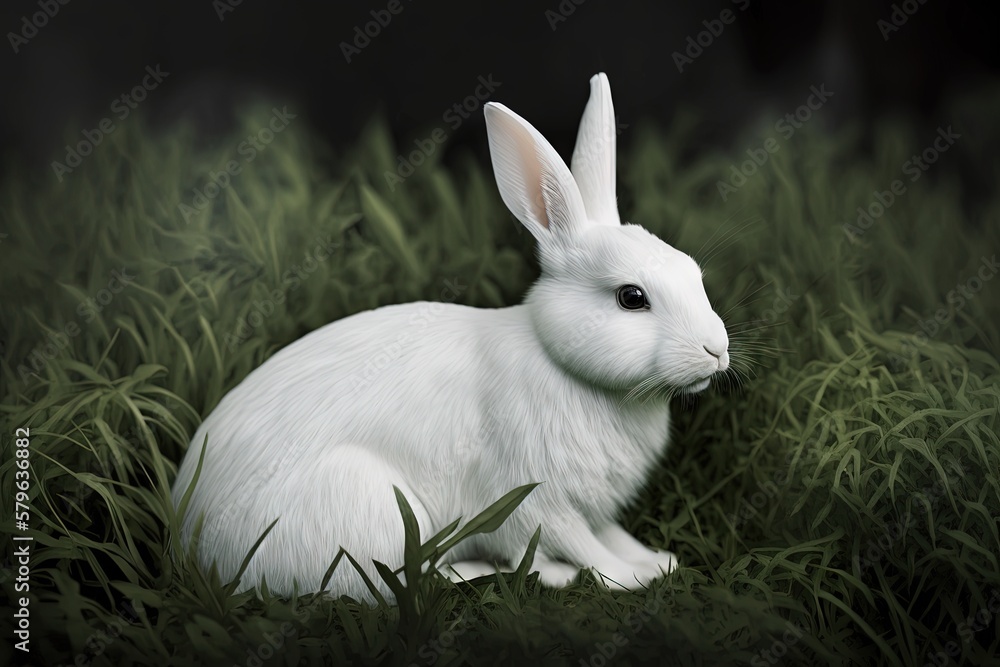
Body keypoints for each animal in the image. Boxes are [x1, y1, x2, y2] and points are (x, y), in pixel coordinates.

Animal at [172, 73, 732, 604]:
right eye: (631, 297)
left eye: (693, 270)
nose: (717, 350)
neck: (565, 367)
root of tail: (193, 536)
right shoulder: (537, 496)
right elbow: (581, 544)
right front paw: (630, 577)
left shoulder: (591, 506)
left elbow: (608, 534)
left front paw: (655, 558)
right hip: (372, 506)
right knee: (390, 583)